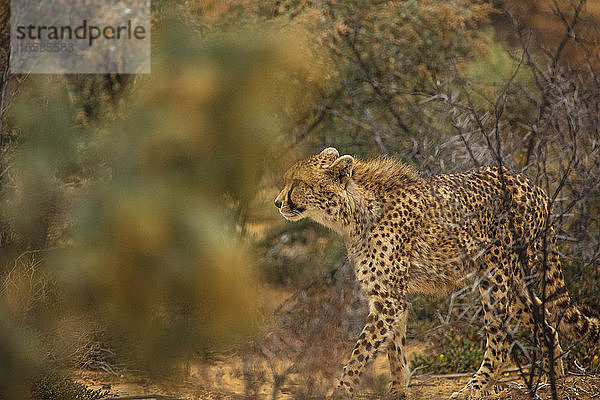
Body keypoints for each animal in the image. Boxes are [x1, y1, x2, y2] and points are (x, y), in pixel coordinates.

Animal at [274, 148, 600, 400]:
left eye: (298, 183)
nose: (278, 202)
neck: (353, 213)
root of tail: (532, 184)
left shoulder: (388, 300)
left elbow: (360, 353)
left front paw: (341, 391)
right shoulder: (392, 298)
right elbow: (395, 351)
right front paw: (398, 391)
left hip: (495, 276)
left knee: (500, 341)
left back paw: (475, 388)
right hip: (515, 280)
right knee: (546, 324)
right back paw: (555, 382)